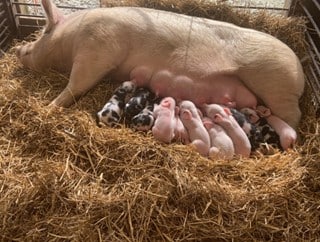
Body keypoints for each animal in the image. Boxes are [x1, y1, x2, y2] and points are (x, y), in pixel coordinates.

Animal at [15, 0, 304, 130]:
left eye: (41, 33)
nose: (18, 49)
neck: (70, 39)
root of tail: (301, 73)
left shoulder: (97, 49)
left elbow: (76, 85)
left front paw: (48, 108)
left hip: (276, 85)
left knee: (293, 119)